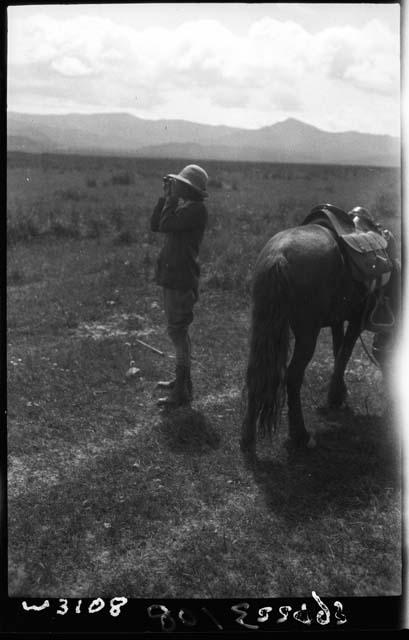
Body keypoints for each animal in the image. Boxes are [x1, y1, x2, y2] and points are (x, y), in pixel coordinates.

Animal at [241, 208, 400, 452]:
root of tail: (279, 255)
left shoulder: (337, 320)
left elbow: (338, 351)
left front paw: (339, 393)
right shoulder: (356, 319)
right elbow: (344, 354)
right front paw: (335, 396)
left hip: (263, 325)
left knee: (255, 373)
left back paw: (247, 438)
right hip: (307, 334)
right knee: (293, 376)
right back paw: (300, 435)